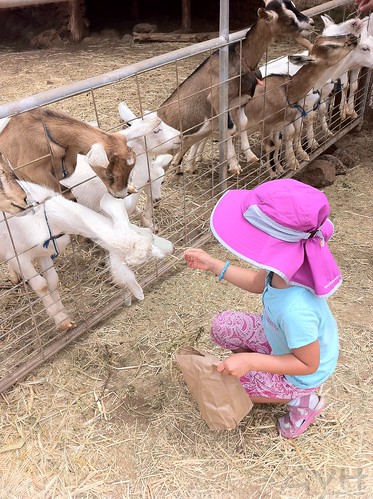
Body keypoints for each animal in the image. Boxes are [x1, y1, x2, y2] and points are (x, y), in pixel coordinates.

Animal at [0, 182, 174, 330]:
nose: (170, 249)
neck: (42, 215)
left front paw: (65, 318)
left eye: (149, 237)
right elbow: (40, 285)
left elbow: (52, 281)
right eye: (138, 260)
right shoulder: (18, 256)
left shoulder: (45, 252)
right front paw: (61, 322)